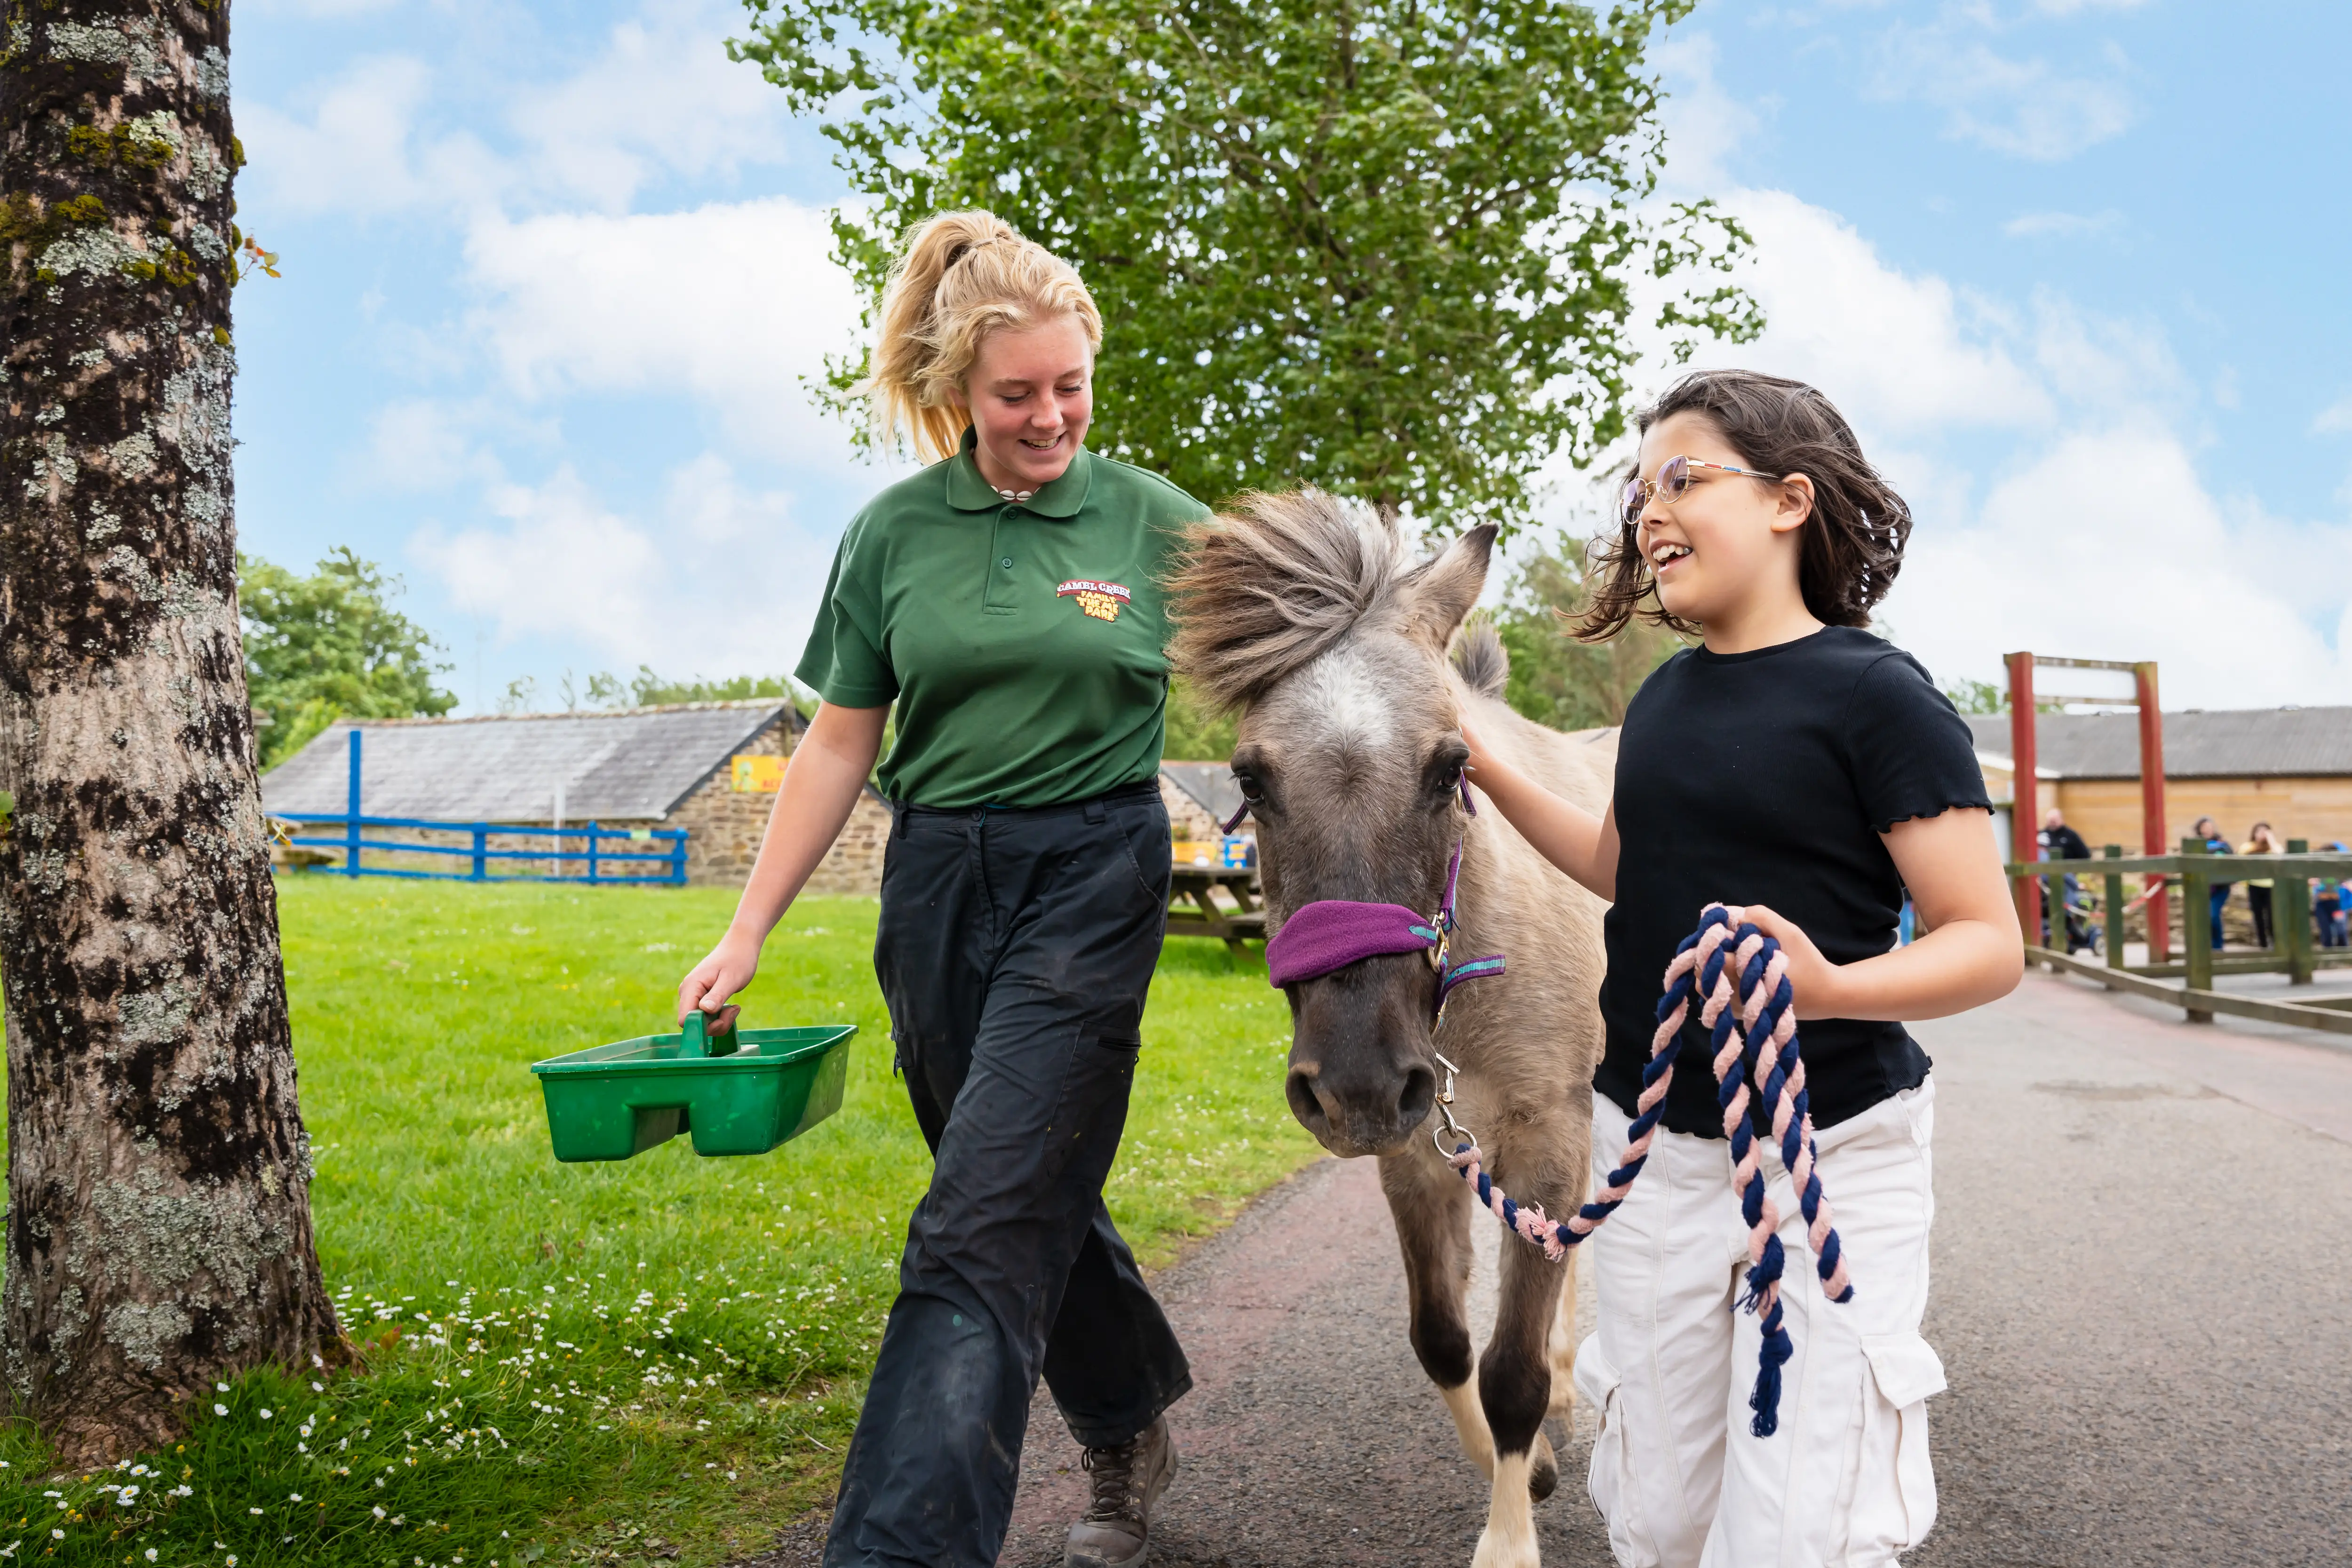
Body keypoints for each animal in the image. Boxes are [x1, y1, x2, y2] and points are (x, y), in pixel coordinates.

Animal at [1170, 491, 1614, 1568]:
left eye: (1451, 766)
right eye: (1251, 775)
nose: (1360, 1084)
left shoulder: (1546, 1130)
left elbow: (1508, 1369)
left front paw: (1509, 1535)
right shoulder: (1419, 1152)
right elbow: (1444, 1338)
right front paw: (1532, 1466)